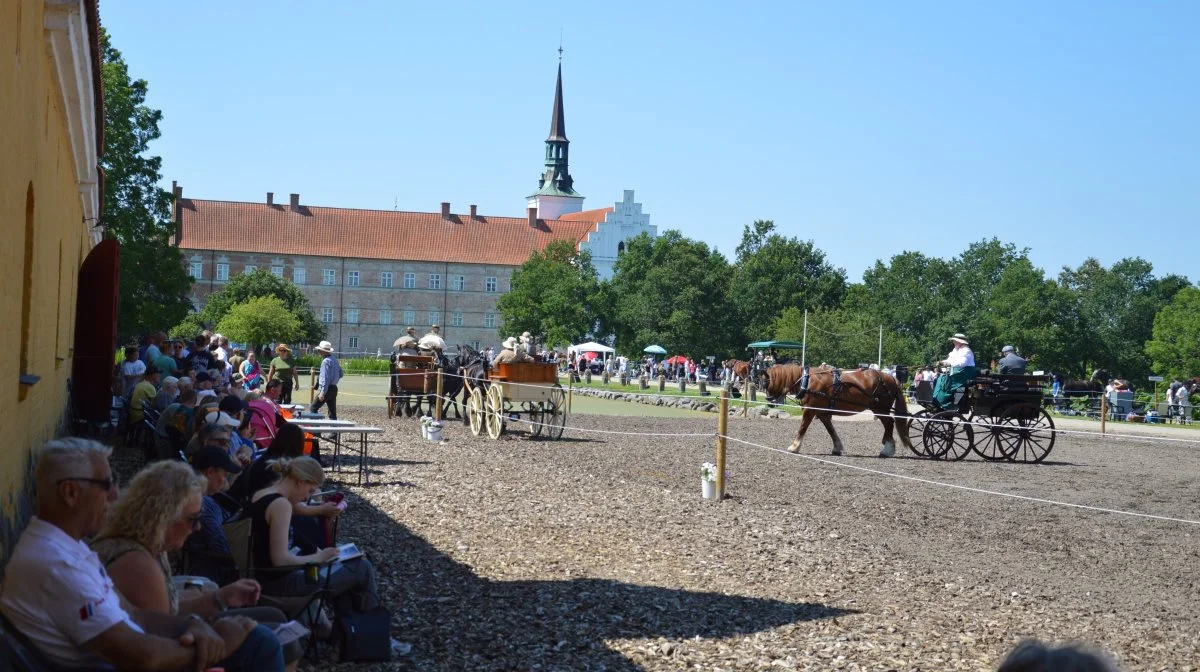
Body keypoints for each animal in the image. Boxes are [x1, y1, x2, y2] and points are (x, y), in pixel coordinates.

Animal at [763, 364, 912, 458]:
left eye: (766, 382)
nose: (768, 400)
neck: (806, 380)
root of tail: (892, 378)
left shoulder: (810, 410)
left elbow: (802, 428)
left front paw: (794, 447)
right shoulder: (822, 413)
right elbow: (831, 431)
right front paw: (837, 448)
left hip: (880, 408)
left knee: (889, 423)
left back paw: (887, 449)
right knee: (889, 424)